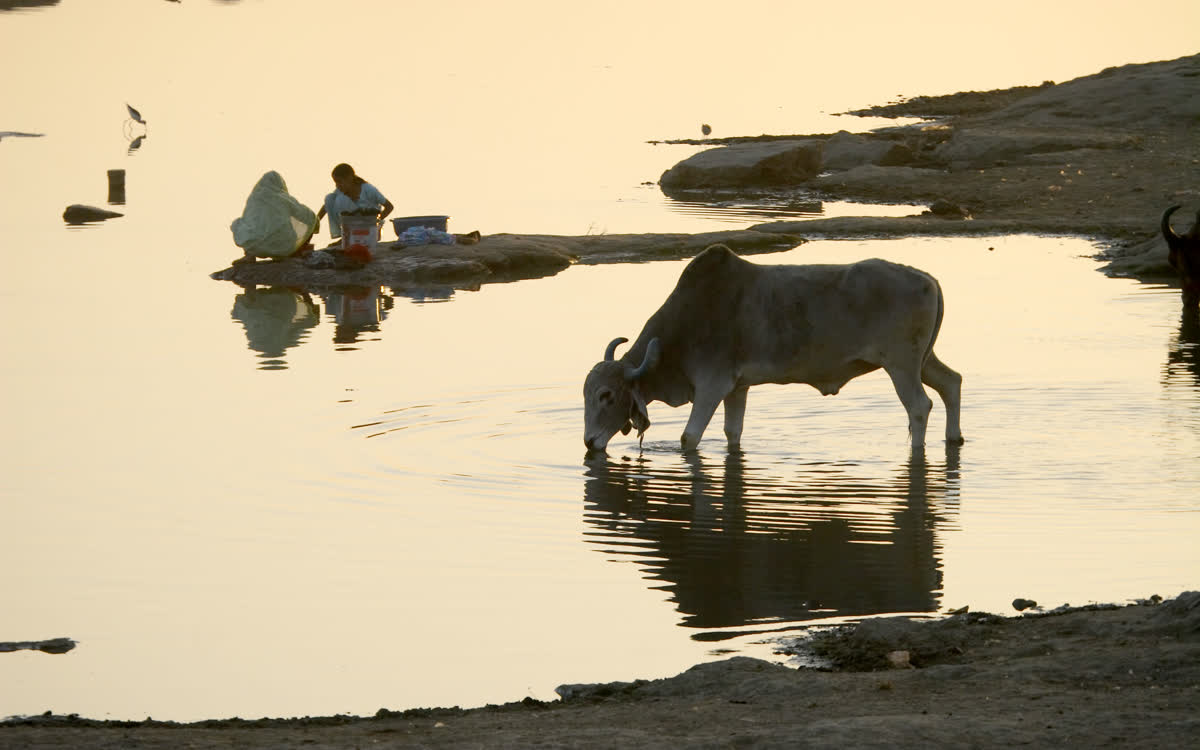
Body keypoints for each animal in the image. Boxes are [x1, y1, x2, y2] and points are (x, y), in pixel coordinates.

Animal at [582, 244, 963, 453]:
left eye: (606, 395)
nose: (588, 442)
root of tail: (928, 279)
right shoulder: (737, 388)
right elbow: (732, 432)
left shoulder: (712, 384)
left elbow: (689, 437)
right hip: (922, 360)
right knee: (951, 383)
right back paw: (954, 438)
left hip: (901, 364)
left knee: (919, 406)